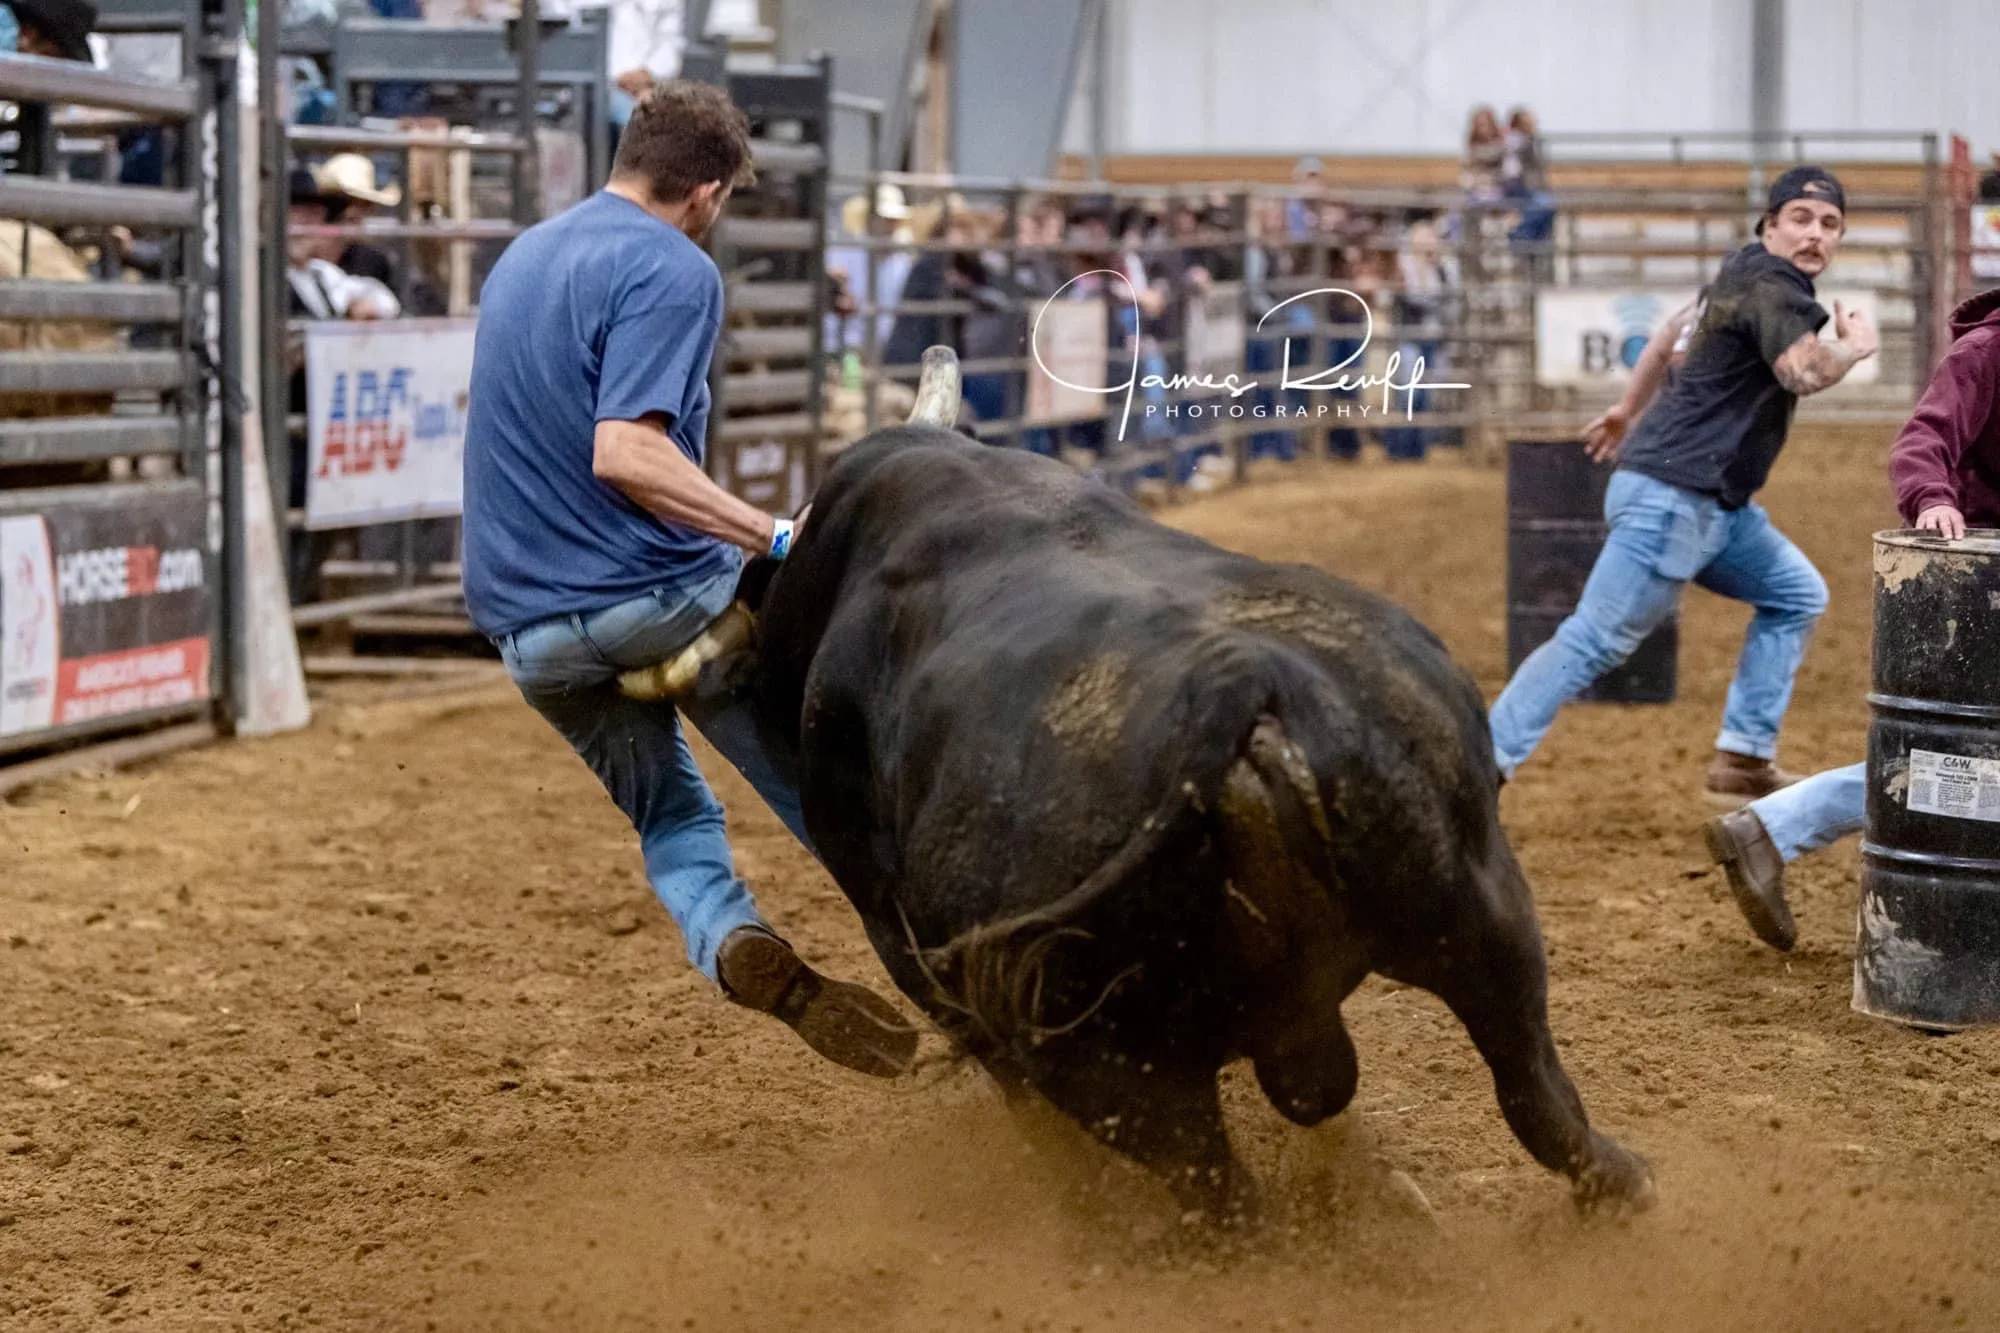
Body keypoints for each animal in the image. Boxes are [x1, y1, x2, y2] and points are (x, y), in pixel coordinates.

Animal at [624, 348, 1655, 1223]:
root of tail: (1234, 692)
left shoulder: (921, 956)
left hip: (1106, 1058)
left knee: (1221, 1194)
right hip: (1481, 901)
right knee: (1529, 1082)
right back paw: (1611, 1184)